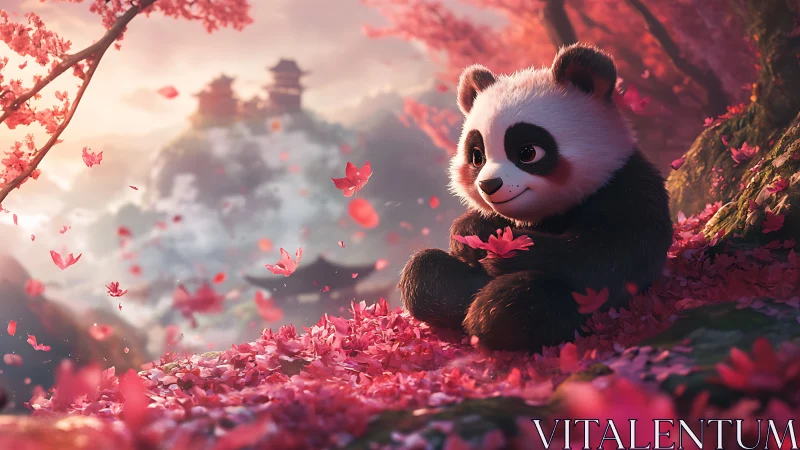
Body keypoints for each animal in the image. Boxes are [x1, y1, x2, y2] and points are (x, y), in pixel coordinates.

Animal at [398, 43, 674, 352]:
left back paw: (483, 313)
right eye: (477, 157)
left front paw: (509, 252)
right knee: (423, 271)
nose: (489, 185)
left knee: (527, 302)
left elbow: (611, 254)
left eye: (528, 152)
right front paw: (471, 235)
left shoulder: (626, 189)